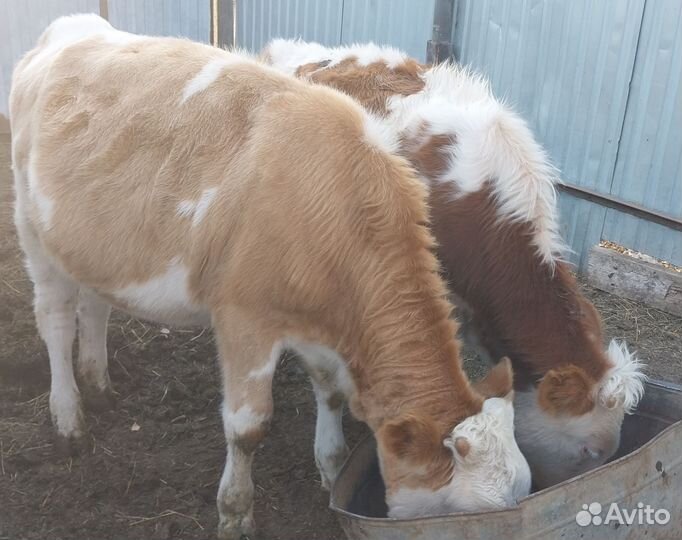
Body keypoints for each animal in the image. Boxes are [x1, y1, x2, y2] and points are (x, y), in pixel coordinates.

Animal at [10, 16, 531, 539]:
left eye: (520, 493)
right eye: (467, 519)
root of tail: (74, 25)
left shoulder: (318, 320)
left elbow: (331, 390)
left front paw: (331, 466)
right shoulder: (244, 318)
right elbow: (247, 428)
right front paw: (235, 512)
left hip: (90, 245)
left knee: (93, 305)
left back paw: (98, 385)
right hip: (32, 228)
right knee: (55, 320)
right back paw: (69, 417)